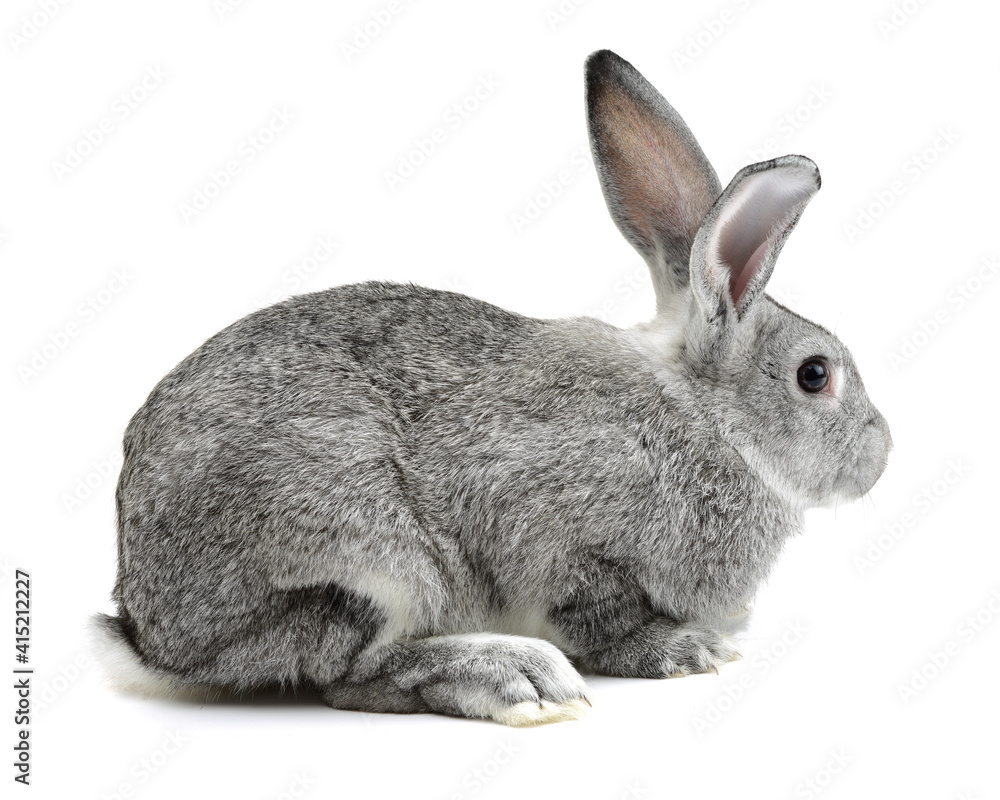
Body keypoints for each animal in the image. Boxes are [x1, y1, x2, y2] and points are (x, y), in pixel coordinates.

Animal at [91, 49, 892, 726]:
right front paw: (683, 650)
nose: (881, 456)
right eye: (815, 375)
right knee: (354, 677)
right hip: (374, 554)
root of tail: (151, 633)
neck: (704, 418)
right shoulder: (559, 537)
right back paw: (517, 679)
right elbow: (602, 618)